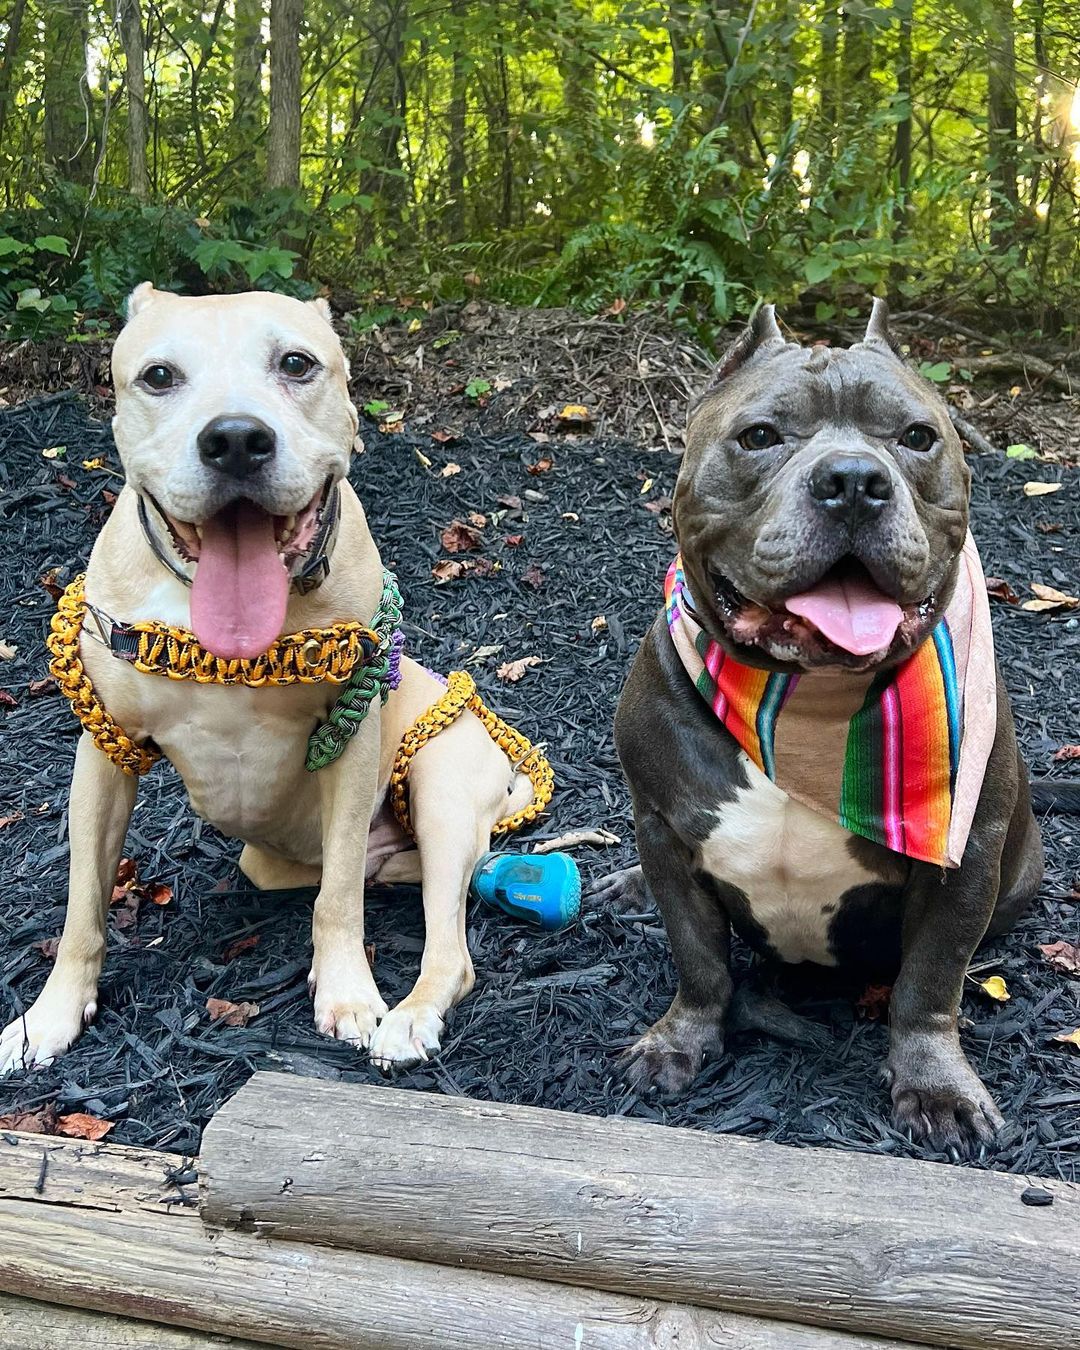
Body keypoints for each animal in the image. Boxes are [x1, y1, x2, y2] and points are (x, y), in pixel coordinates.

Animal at [0, 287, 537, 1074]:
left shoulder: (350, 744)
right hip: (271, 857)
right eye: (158, 376)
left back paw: (409, 1016)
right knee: (395, 873)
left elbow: (338, 898)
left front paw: (347, 994)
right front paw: (52, 1014)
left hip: (440, 786)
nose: (233, 439)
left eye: (297, 364)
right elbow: (83, 906)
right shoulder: (104, 752)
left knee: (442, 933)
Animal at [602, 303, 1074, 1150]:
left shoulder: (965, 862)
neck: (808, 700)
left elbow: (929, 982)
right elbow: (699, 958)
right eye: (760, 435)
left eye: (917, 436)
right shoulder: (662, 826)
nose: (853, 480)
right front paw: (680, 1040)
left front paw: (935, 1086)